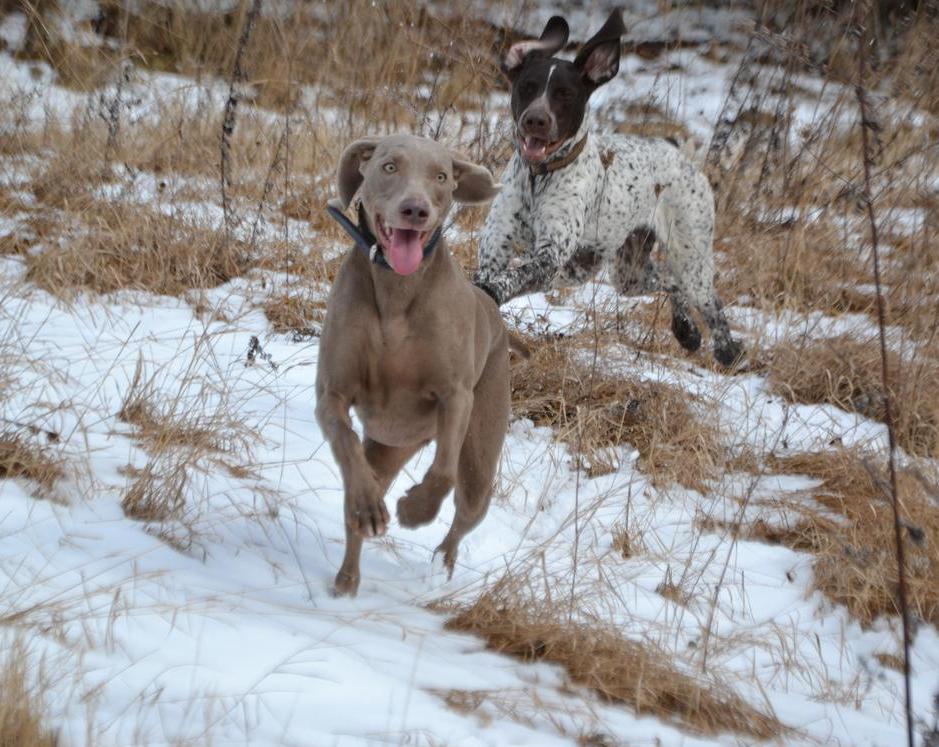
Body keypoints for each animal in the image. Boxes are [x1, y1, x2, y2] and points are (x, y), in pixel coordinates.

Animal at [316, 134, 516, 597]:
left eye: (441, 176)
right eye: (389, 166)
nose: (415, 209)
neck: (397, 287)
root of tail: (494, 312)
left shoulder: (456, 396)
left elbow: (442, 474)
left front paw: (416, 510)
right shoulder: (332, 393)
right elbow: (346, 442)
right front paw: (370, 507)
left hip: (480, 456)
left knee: (465, 509)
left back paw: (442, 563)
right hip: (389, 445)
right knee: (363, 488)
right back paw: (347, 578)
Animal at [474, 11, 743, 367]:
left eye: (565, 94)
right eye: (527, 87)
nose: (535, 120)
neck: (538, 178)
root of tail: (676, 150)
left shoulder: (549, 258)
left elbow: (511, 278)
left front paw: (491, 294)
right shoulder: (495, 251)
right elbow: (487, 278)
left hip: (690, 257)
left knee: (710, 301)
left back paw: (727, 350)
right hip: (628, 273)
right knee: (669, 281)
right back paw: (686, 330)